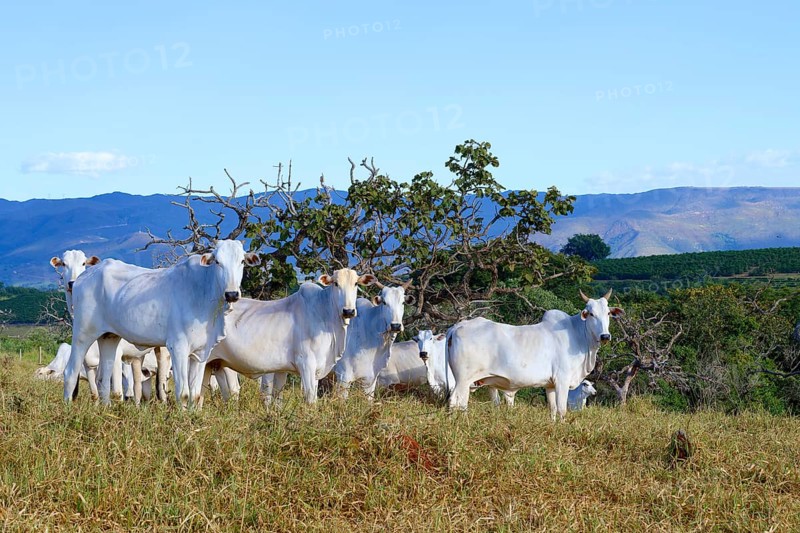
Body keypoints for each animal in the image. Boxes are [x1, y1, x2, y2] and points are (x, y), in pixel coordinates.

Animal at [63, 239, 259, 406]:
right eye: (217, 262)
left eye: (242, 261)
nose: (232, 294)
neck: (204, 291)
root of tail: (81, 278)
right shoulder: (177, 347)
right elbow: (183, 393)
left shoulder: (201, 352)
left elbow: (196, 394)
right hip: (83, 334)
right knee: (70, 372)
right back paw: (68, 408)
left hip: (109, 337)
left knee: (103, 380)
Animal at [194, 268, 376, 406]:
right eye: (336, 283)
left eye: (356, 283)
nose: (348, 311)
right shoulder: (306, 364)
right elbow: (311, 400)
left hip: (212, 364)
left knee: (201, 395)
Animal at [446, 289, 623, 420]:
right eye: (591, 313)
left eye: (608, 313)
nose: (605, 336)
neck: (578, 335)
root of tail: (457, 327)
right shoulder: (562, 380)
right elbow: (562, 410)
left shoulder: (550, 385)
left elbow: (552, 410)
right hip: (463, 380)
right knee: (456, 401)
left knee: (460, 402)